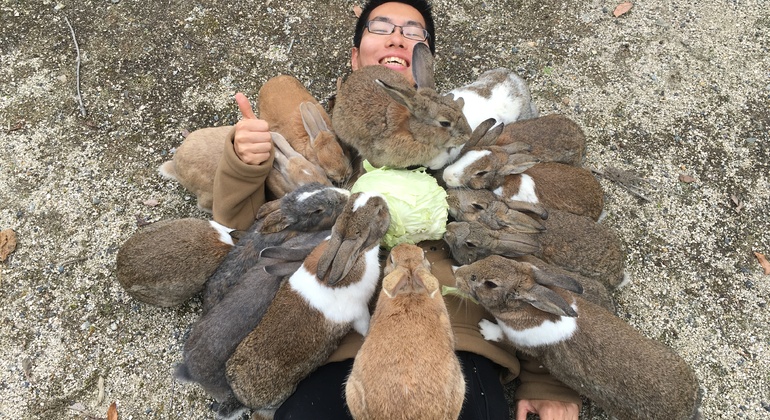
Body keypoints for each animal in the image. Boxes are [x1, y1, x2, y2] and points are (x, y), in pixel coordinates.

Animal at [222, 191, 390, 416]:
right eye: (379, 212)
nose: (380, 198)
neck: (354, 252)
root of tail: (239, 394)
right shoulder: (359, 311)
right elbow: (364, 326)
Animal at [452, 256, 700, 420]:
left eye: (490, 284)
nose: (457, 274)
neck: (527, 306)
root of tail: (687, 408)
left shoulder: (519, 339)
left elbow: (501, 335)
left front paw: (484, 328)